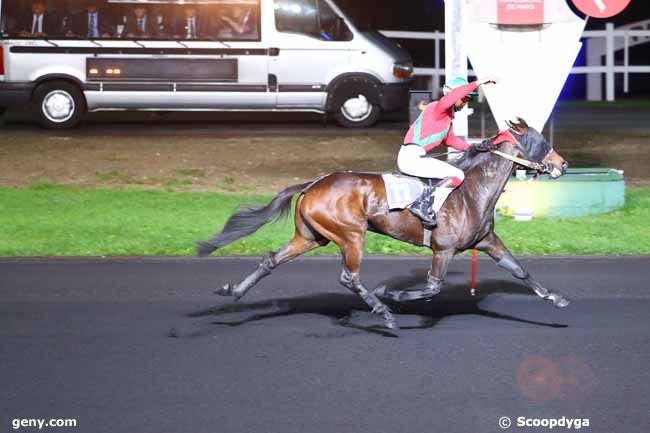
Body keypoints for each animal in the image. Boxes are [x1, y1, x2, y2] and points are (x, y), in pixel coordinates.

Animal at [196, 120, 568, 330]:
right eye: (540, 142)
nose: (563, 164)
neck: (471, 191)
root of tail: (313, 183)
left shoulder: (486, 241)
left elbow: (518, 269)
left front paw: (555, 298)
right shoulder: (443, 249)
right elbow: (432, 287)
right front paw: (393, 294)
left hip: (312, 236)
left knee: (272, 259)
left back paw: (234, 290)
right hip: (351, 235)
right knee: (349, 277)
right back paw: (383, 312)